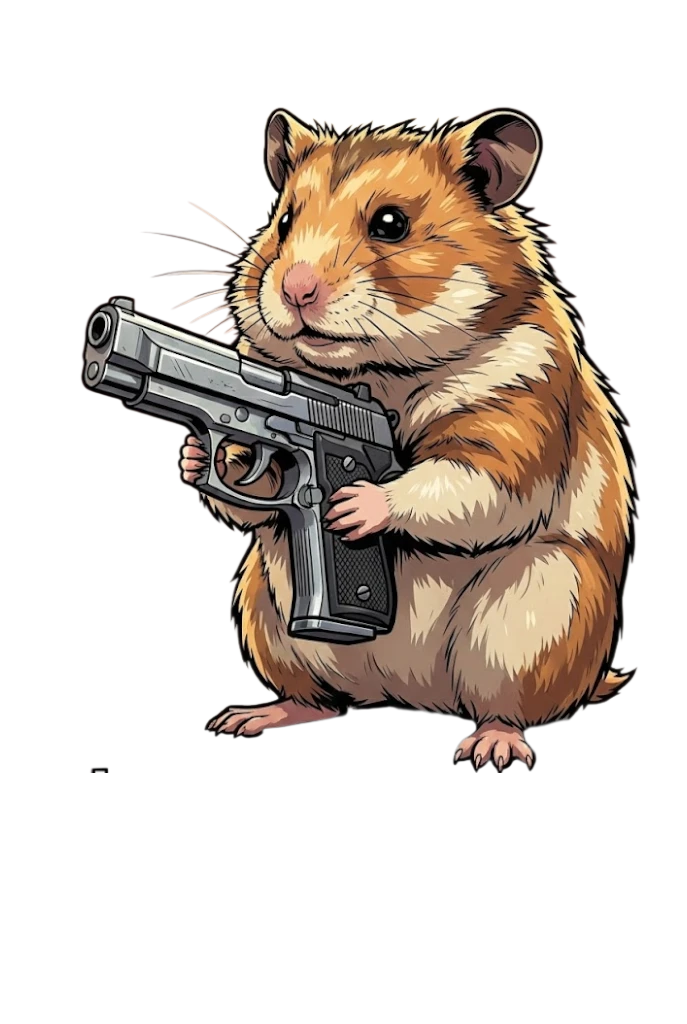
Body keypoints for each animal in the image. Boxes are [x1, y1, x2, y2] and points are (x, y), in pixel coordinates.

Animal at [190, 107, 638, 768]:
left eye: (391, 224)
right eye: (284, 219)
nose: (295, 290)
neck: (371, 375)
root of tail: (407, 694)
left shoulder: (516, 417)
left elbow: (466, 485)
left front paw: (353, 505)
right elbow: (249, 496)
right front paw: (196, 455)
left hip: (532, 614)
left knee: (507, 706)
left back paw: (490, 748)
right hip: (265, 612)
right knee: (322, 699)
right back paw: (251, 717)